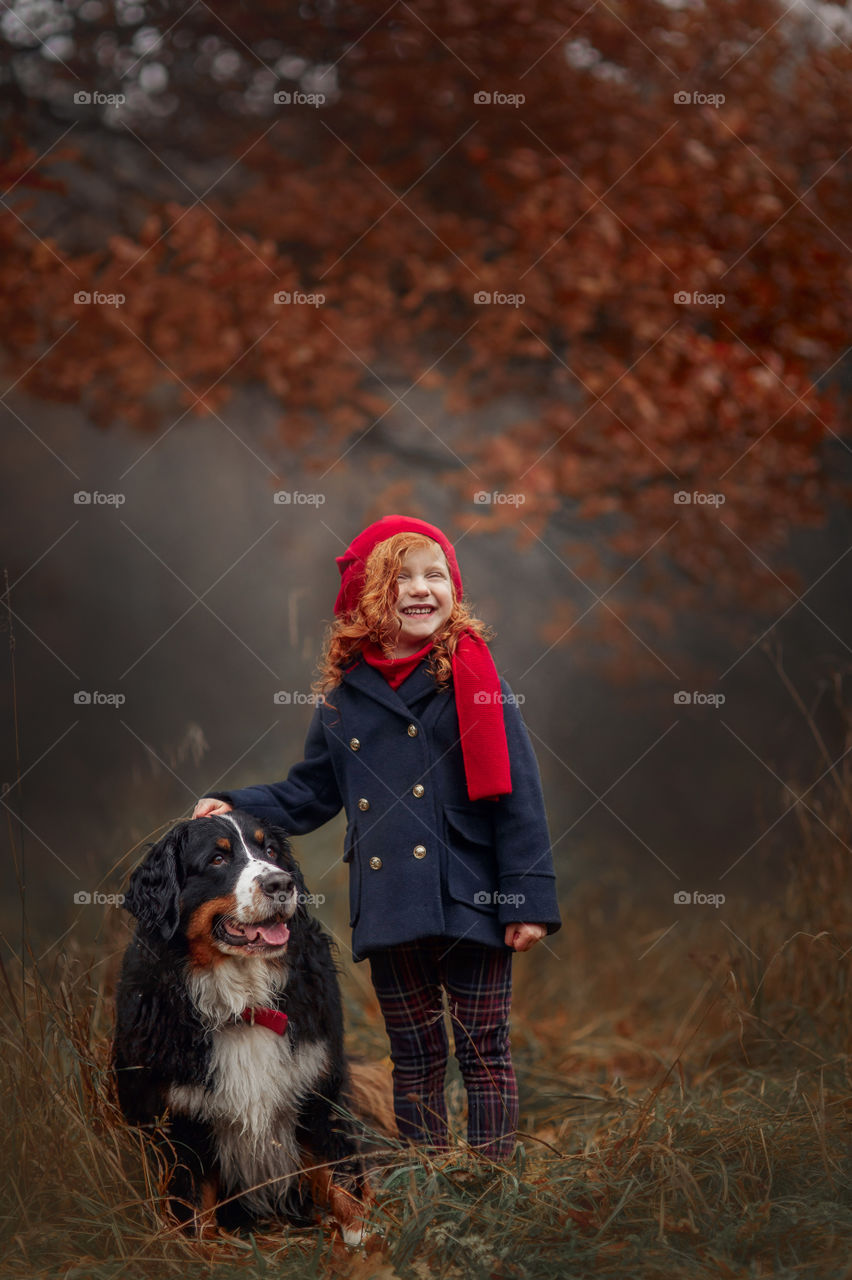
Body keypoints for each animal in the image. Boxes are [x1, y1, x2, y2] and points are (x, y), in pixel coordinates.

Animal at [111, 808, 368, 1239]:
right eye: (217, 859)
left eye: (271, 851)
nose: (281, 884)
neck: (244, 1007)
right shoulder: (180, 1128)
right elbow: (194, 1217)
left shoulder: (320, 1094)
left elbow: (345, 1189)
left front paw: (370, 1246)